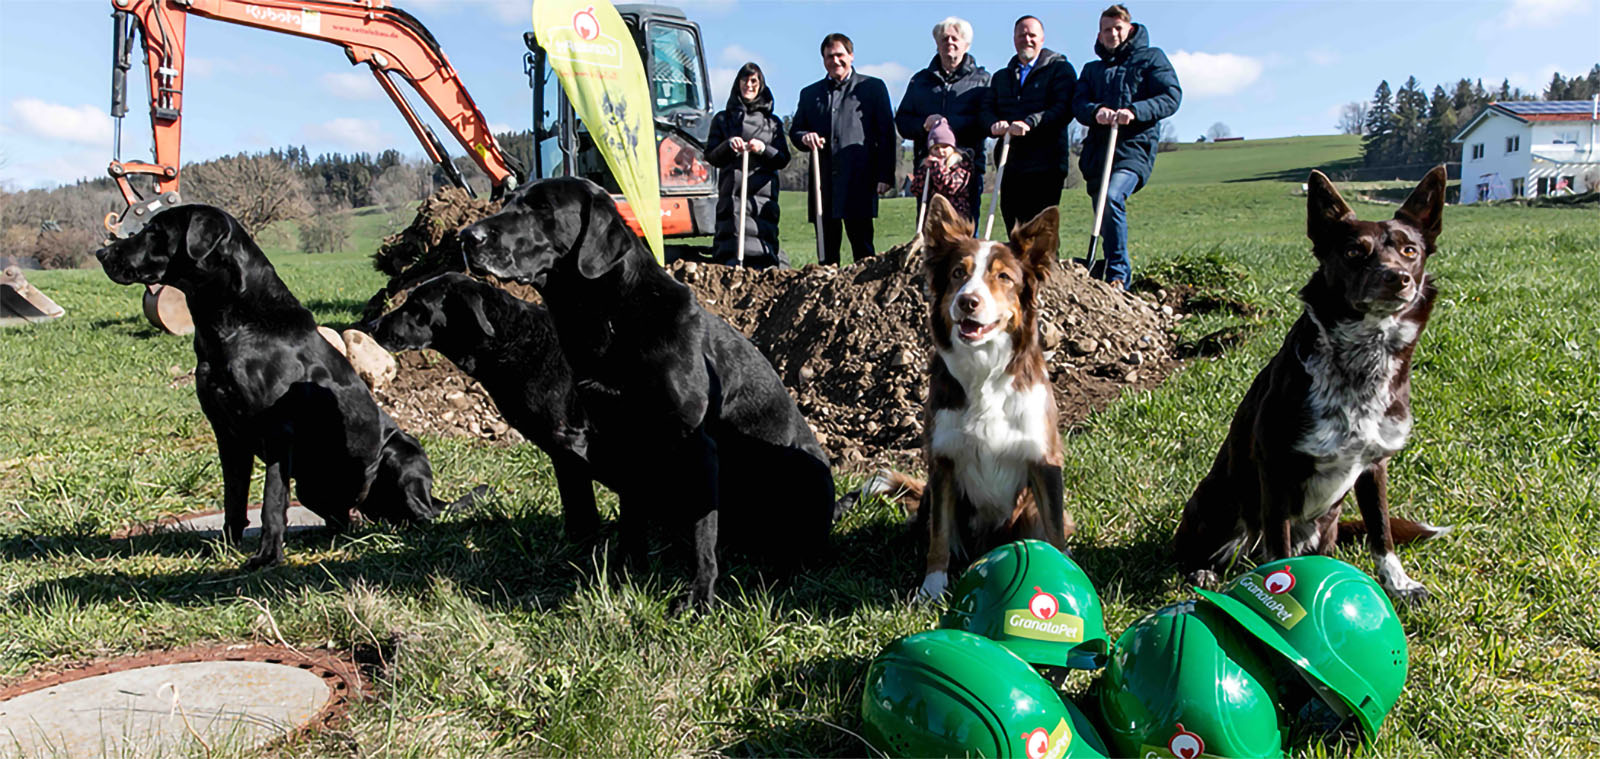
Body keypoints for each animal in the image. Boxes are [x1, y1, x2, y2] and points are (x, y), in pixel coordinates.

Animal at [96, 204, 473, 566]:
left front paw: (267, 555)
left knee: (421, 515)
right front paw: (228, 545)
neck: (233, 324)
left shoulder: (278, 432)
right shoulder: (226, 433)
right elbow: (233, 497)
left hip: (399, 453)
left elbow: (271, 500)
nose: (101, 253)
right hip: (312, 486)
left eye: (155, 231)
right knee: (344, 520)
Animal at [457, 174, 838, 608]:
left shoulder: (697, 446)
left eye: (542, 208)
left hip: (800, 475)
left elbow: (703, 534)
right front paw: (625, 574)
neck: (610, 318)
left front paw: (699, 595)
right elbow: (630, 516)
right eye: (507, 202)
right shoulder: (622, 438)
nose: (467, 236)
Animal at [1177, 167, 1452, 605]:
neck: (1360, 364)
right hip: (1217, 502)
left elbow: (1381, 533)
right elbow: (1280, 547)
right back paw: (1203, 571)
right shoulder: (1276, 468)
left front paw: (1400, 584)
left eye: (1410, 250)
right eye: (1354, 252)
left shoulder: (1375, 466)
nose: (1398, 278)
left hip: (1326, 526)